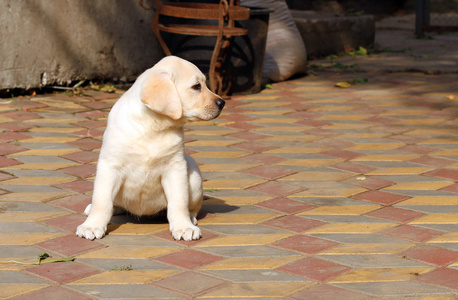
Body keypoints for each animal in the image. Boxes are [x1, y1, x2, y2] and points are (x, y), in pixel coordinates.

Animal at [76, 56, 225, 241]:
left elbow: (179, 202)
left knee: (191, 207)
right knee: (113, 204)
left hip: (194, 178)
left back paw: (190, 219)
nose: (222, 102)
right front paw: (92, 225)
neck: (153, 125)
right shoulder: (109, 166)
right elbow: (101, 201)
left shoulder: (175, 167)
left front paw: (183, 227)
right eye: (196, 86)